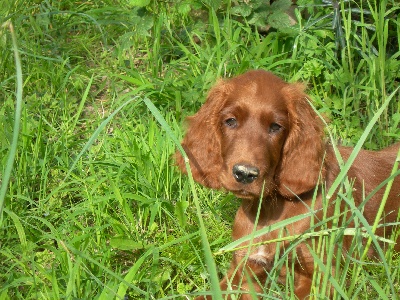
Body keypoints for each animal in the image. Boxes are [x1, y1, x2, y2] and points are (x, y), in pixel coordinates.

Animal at [176, 69, 400, 298]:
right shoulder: (242, 271)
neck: (269, 210)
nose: (245, 174)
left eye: (276, 127)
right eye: (230, 121)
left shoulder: (322, 276)